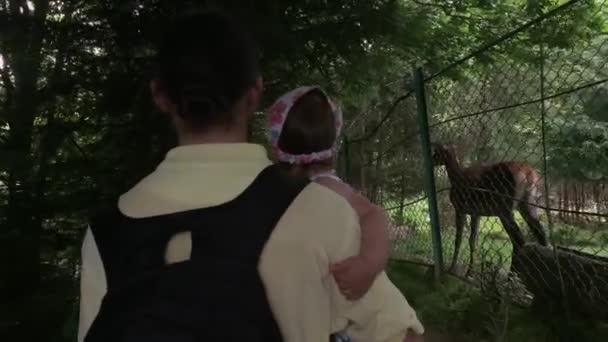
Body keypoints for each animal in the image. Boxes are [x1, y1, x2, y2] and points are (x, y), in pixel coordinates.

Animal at [432, 144, 552, 276]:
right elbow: (472, 241)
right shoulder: (475, 213)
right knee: (540, 235)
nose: (431, 161)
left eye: (436, 153)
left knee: (519, 240)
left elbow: (458, 240)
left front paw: (452, 268)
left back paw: (511, 276)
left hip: (504, 207)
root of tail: (530, 173)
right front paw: (469, 271)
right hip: (527, 204)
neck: (456, 178)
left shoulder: (460, 208)